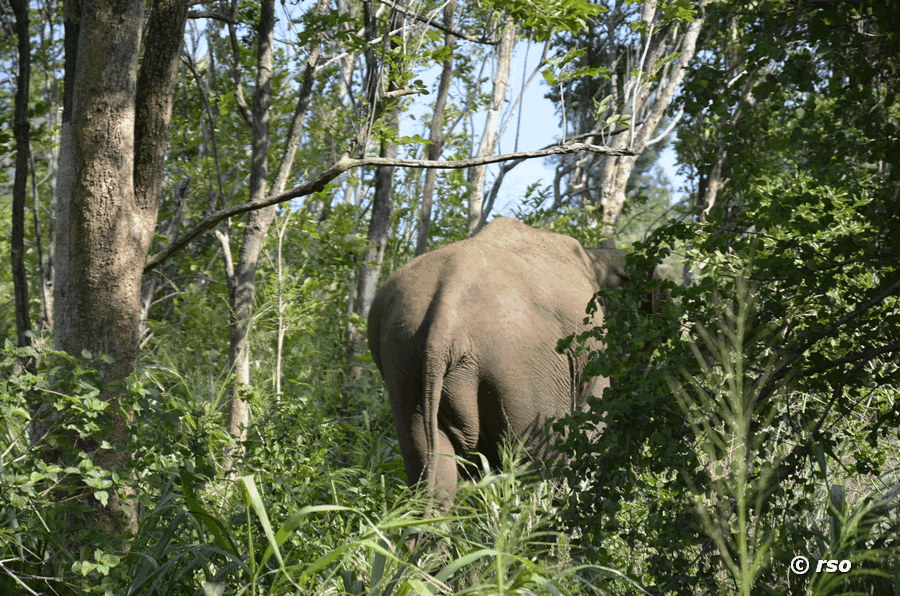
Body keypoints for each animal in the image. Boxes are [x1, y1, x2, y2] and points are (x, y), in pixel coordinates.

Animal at [368, 217, 644, 501]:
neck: (596, 255)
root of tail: (446, 315)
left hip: (404, 362)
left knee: (429, 461)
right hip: (522, 368)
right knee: (539, 463)